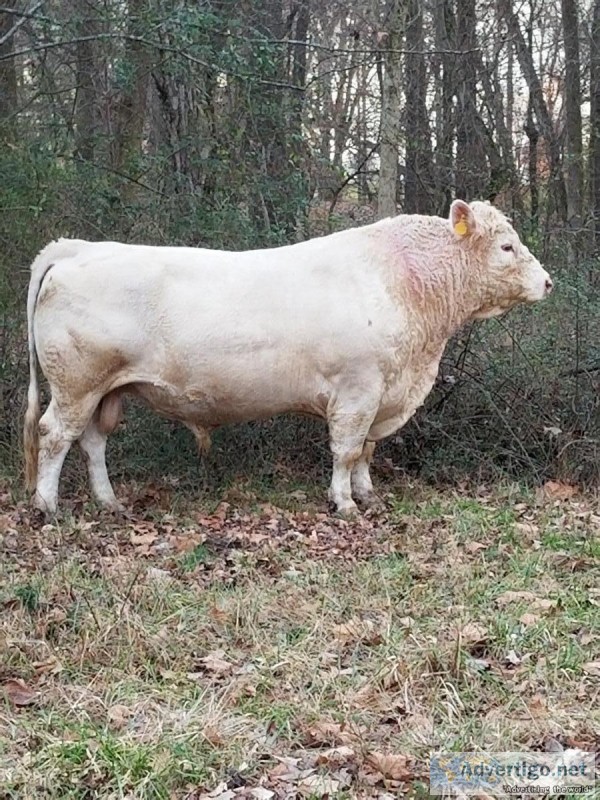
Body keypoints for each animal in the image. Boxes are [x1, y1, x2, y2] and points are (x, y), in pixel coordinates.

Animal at [24, 200, 552, 512]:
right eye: (507, 246)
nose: (548, 281)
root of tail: (76, 247)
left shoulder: (383, 396)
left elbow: (367, 450)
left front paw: (368, 495)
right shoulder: (358, 391)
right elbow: (347, 450)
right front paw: (344, 503)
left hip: (106, 390)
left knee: (93, 441)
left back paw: (109, 502)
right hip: (76, 382)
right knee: (54, 435)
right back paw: (47, 505)